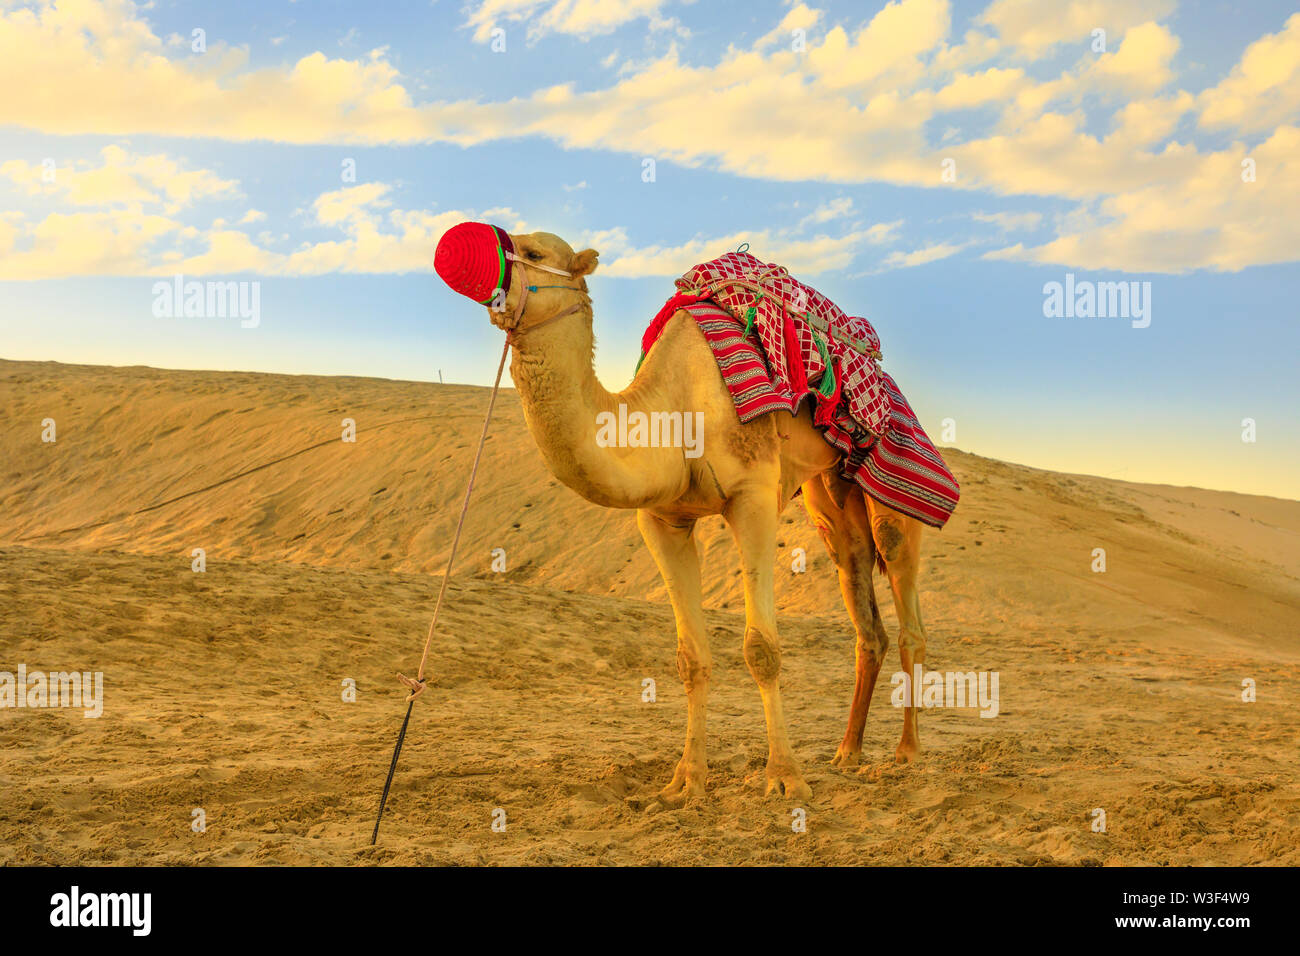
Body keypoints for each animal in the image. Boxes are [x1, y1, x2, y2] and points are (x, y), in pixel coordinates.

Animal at [491, 230, 930, 801]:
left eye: (534, 253)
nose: (488, 276)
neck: (670, 411)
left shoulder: (753, 497)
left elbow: (762, 649)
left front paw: (785, 778)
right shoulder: (661, 520)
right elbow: (690, 658)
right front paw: (686, 782)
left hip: (889, 477)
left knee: (903, 593)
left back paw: (908, 753)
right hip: (830, 493)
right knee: (860, 594)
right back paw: (847, 751)